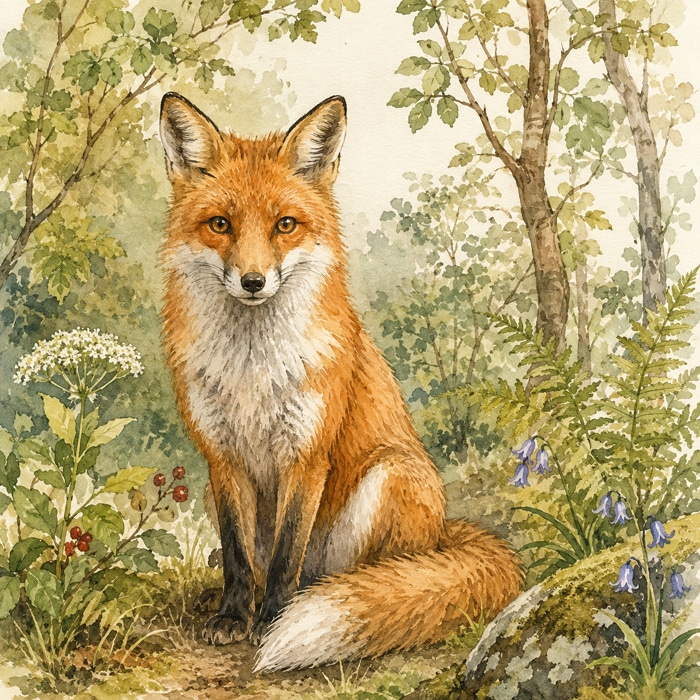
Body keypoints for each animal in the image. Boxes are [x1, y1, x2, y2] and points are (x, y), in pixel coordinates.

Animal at [158, 92, 523, 672]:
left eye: (285, 224)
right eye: (220, 224)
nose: (254, 282)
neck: (251, 370)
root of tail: (446, 531)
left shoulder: (307, 455)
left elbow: (285, 555)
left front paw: (271, 622)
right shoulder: (222, 457)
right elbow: (238, 555)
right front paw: (233, 617)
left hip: (391, 477)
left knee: (362, 577)